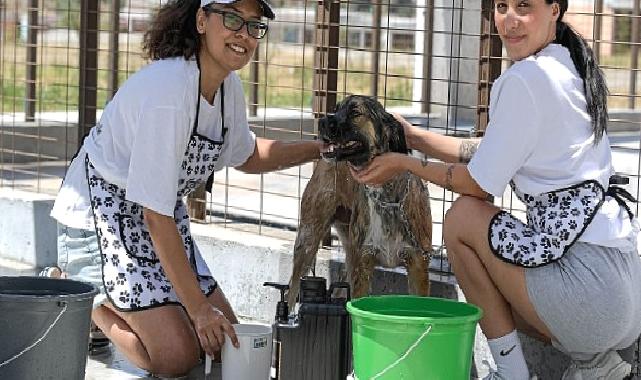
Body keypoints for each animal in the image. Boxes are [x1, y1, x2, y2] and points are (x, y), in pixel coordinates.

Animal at [288, 96, 430, 304]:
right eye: (336, 108)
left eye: (355, 113)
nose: (322, 122)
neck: (386, 197)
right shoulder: (362, 266)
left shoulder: (418, 266)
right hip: (308, 242)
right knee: (291, 292)